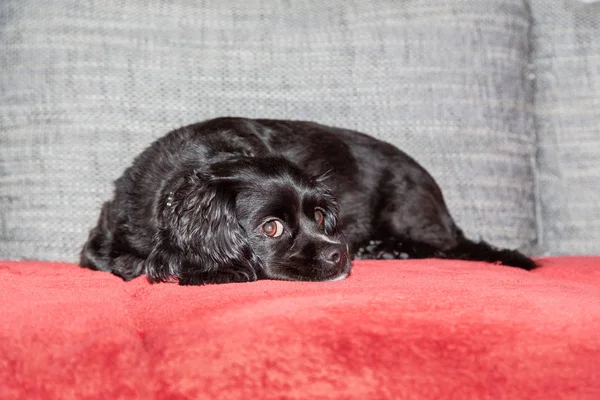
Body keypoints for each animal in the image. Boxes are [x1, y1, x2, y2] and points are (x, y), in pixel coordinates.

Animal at [79, 116, 536, 284]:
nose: (340, 254)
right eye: (271, 227)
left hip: (409, 212)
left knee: (442, 247)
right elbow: (110, 260)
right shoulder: (102, 235)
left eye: (319, 215)